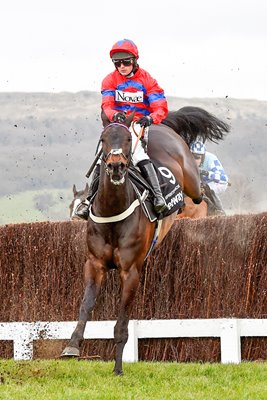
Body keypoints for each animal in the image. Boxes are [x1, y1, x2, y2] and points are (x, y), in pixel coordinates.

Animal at [61, 106, 230, 376]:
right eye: (103, 139)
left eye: (128, 140)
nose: (116, 166)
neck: (113, 210)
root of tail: (162, 127)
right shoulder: (94, 264)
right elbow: (86, 304)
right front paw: (72, 345)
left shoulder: (131, 271)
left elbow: (122, 320)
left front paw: (118, 367)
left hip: (192, 182)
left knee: (200, 191)